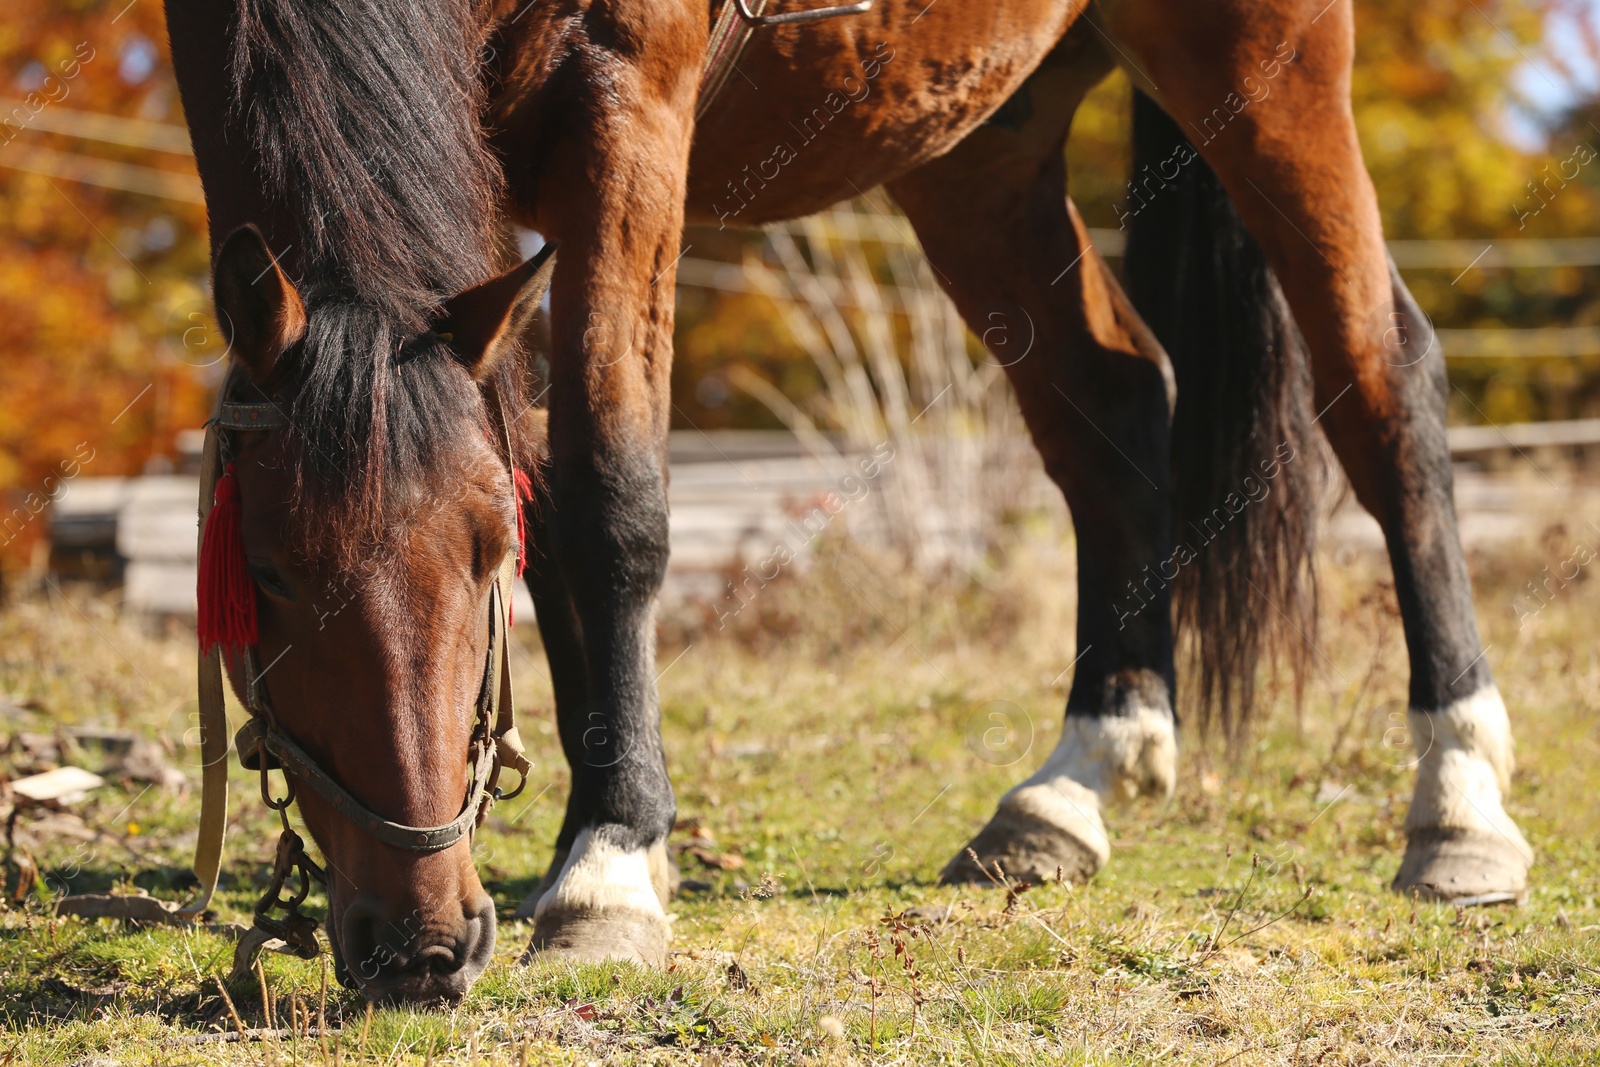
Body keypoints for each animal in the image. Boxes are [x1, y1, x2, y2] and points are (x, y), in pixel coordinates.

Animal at [165, 0, 1536, 1004]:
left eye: (476, 554)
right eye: (266, 570)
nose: (422, 944)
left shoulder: (624, 103)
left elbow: (609, 497)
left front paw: (610, 862)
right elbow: (546, 476)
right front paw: (612, 825)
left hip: (1265, 64)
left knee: (1383, 383)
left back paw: (1457, 800)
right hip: (979, 141)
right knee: (1114, 409)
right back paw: (1075, 777)